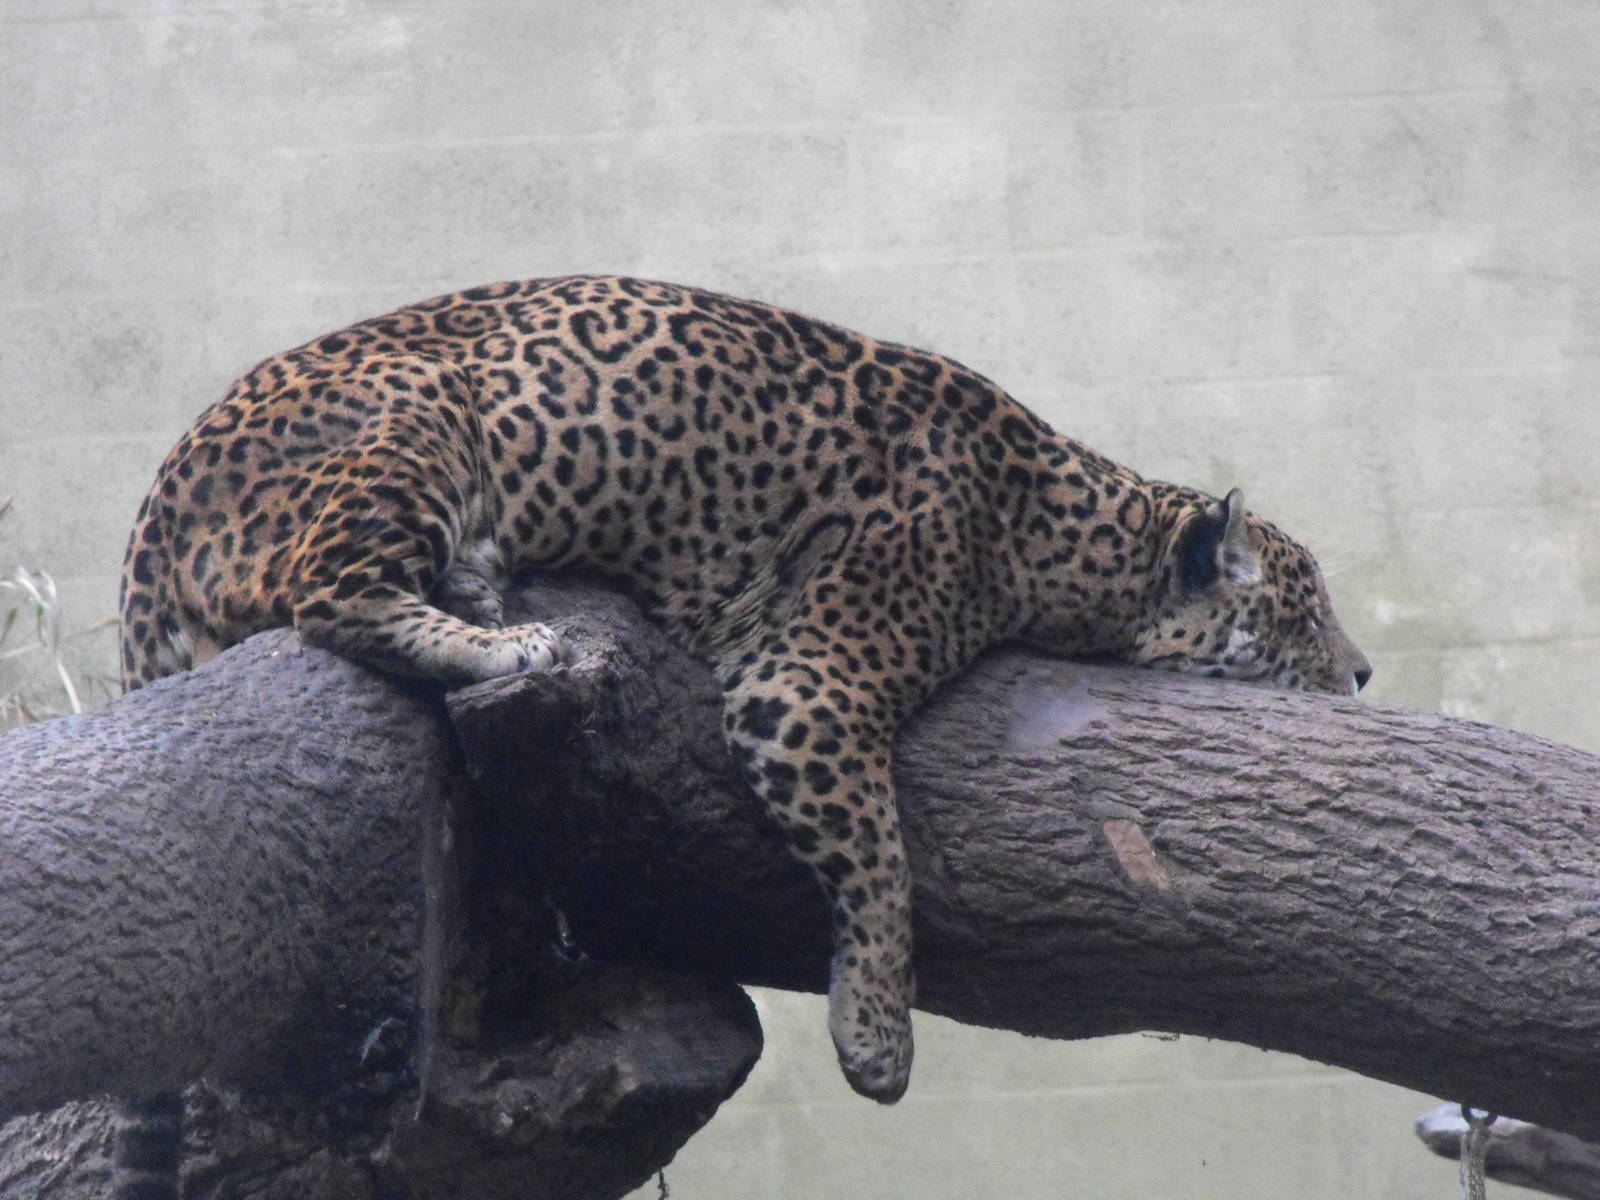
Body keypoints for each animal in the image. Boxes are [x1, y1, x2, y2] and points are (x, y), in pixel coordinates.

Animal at [119, 274, 1370, 1125]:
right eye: (1306, 604)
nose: (1363, 672)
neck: (1067, 534)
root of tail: (156, 504)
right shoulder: (807, 682)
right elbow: (881, 861)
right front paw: (876, 1039)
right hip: (417, 411)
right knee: (329, 592)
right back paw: (500, 641)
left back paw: (480, 589)